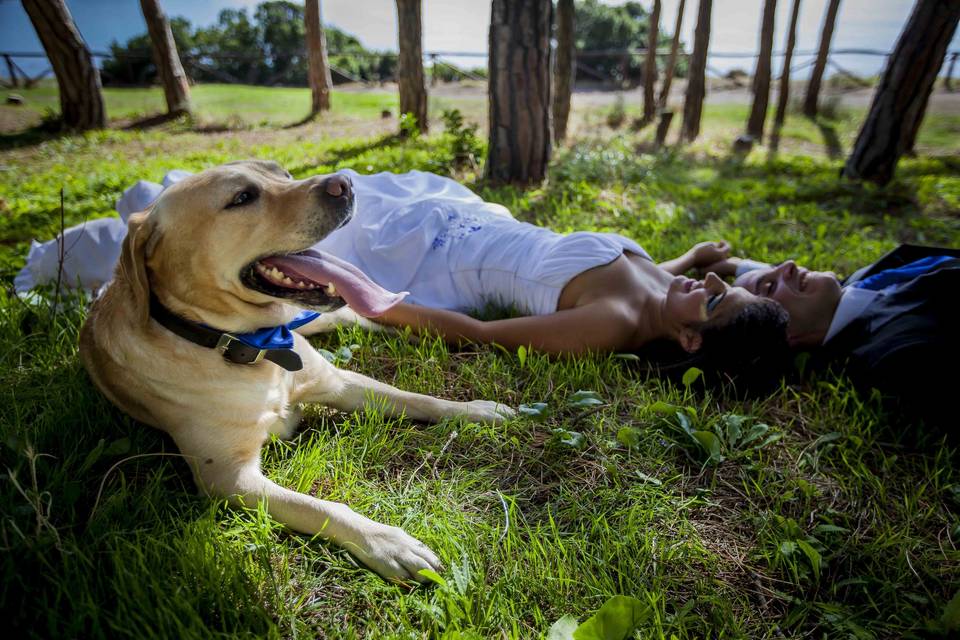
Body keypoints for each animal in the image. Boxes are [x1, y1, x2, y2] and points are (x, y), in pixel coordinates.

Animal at [81, 160, 512, 580]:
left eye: (283, 174)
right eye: (242, 197)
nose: (344, 183)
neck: (257, 347)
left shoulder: (340, 383)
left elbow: (419, 398)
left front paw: (476, 410)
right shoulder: (230, 478)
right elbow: (322, 507)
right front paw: (387, 542)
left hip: (324, 320)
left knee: (363, 318)